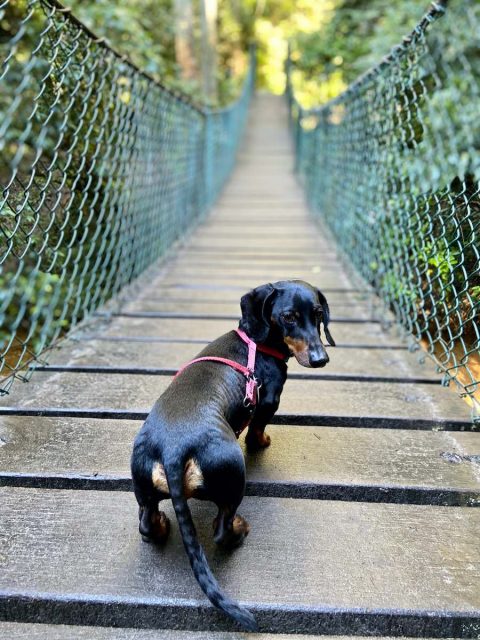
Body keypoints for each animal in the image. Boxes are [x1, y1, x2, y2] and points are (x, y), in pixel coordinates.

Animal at [129, 280, 336, 632]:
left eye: (319, 314)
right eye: (289, 317)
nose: (321, 359)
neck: (255, 344)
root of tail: (173, 449)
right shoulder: (268, 402)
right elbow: (257, 430)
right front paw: (261, 441)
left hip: (142, 485)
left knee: (147, 522)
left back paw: (161, 528)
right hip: (234, 476)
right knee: (221, 529)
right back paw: (239, 530)